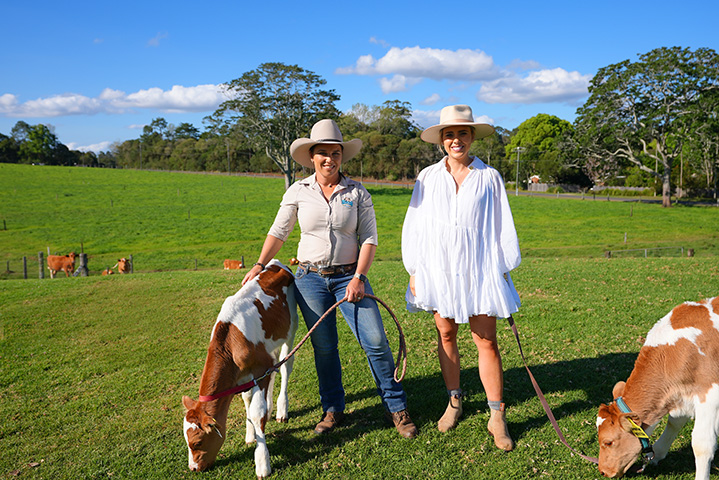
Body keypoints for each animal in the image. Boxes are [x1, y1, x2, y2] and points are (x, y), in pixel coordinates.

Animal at [186, 260, 300, 478]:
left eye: (197, 442)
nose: (193, 468)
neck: (230, 340)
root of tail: (276, 264)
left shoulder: (260, 367)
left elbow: (256, 412)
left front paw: (262, 463)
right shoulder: (245, 373)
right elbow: (247, 399)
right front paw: (251, 434)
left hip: (289, 331)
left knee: (285, 368)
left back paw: (282, 409)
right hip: (270, 346)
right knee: (274, 372)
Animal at [596, 296, 719, 480]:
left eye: (608, 442)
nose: (603, 470)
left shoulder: (710, 395)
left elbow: (702, 444)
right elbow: (675, 422)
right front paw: (658, 454)